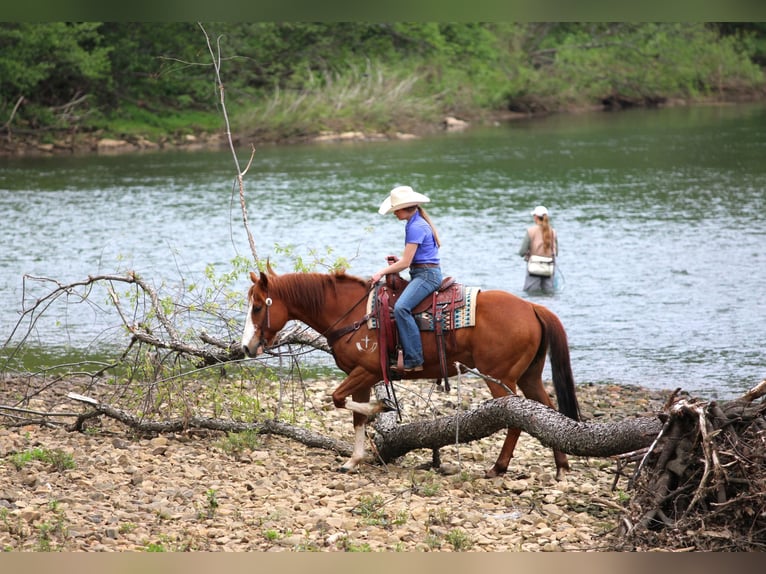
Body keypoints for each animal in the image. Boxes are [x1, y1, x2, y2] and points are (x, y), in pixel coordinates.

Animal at [240, 265, 580, 479]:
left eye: (257, 307)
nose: (247, 347)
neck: (353, 313)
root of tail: (532, 307)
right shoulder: (359, 375)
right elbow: (356, 415)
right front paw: (353, 461)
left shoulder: (366, 370)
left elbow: (339, 399)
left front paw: (383, 406)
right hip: (528, 376)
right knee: (546, 412)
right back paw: (561, 468)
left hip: (501, 378)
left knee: (515, 419)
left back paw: (498, 467)